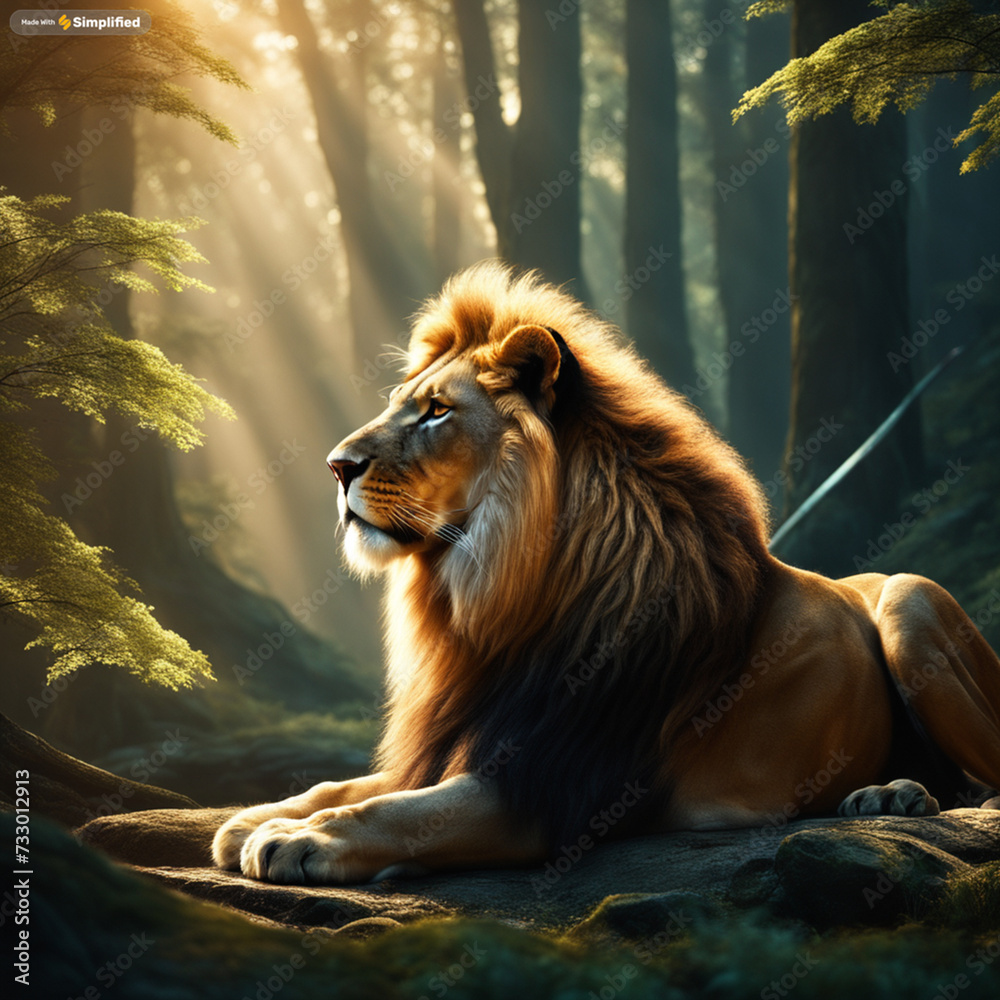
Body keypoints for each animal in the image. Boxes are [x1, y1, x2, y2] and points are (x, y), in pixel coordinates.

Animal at [213, 262, 1000, 885]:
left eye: (436, 412)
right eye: (399, 405)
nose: (335, 466)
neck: (491, 598)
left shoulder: (556, 785)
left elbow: (395, 810)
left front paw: (296, 838)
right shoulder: (475, 738)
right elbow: (353, 782)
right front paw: (259, 814)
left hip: (909, 603)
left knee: (986, 779)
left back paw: (897, 795)